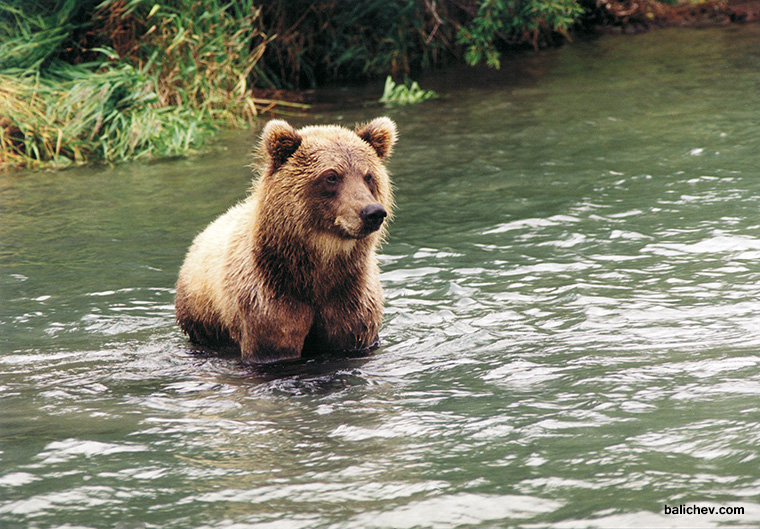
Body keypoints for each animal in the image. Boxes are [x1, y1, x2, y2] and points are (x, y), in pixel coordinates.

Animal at [174, 116, 394, 364]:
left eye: (368, 176)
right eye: (331, 176)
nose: (372, 212)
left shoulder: (350, 298)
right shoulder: (269, 298)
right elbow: (273, 344)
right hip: (201, 316)